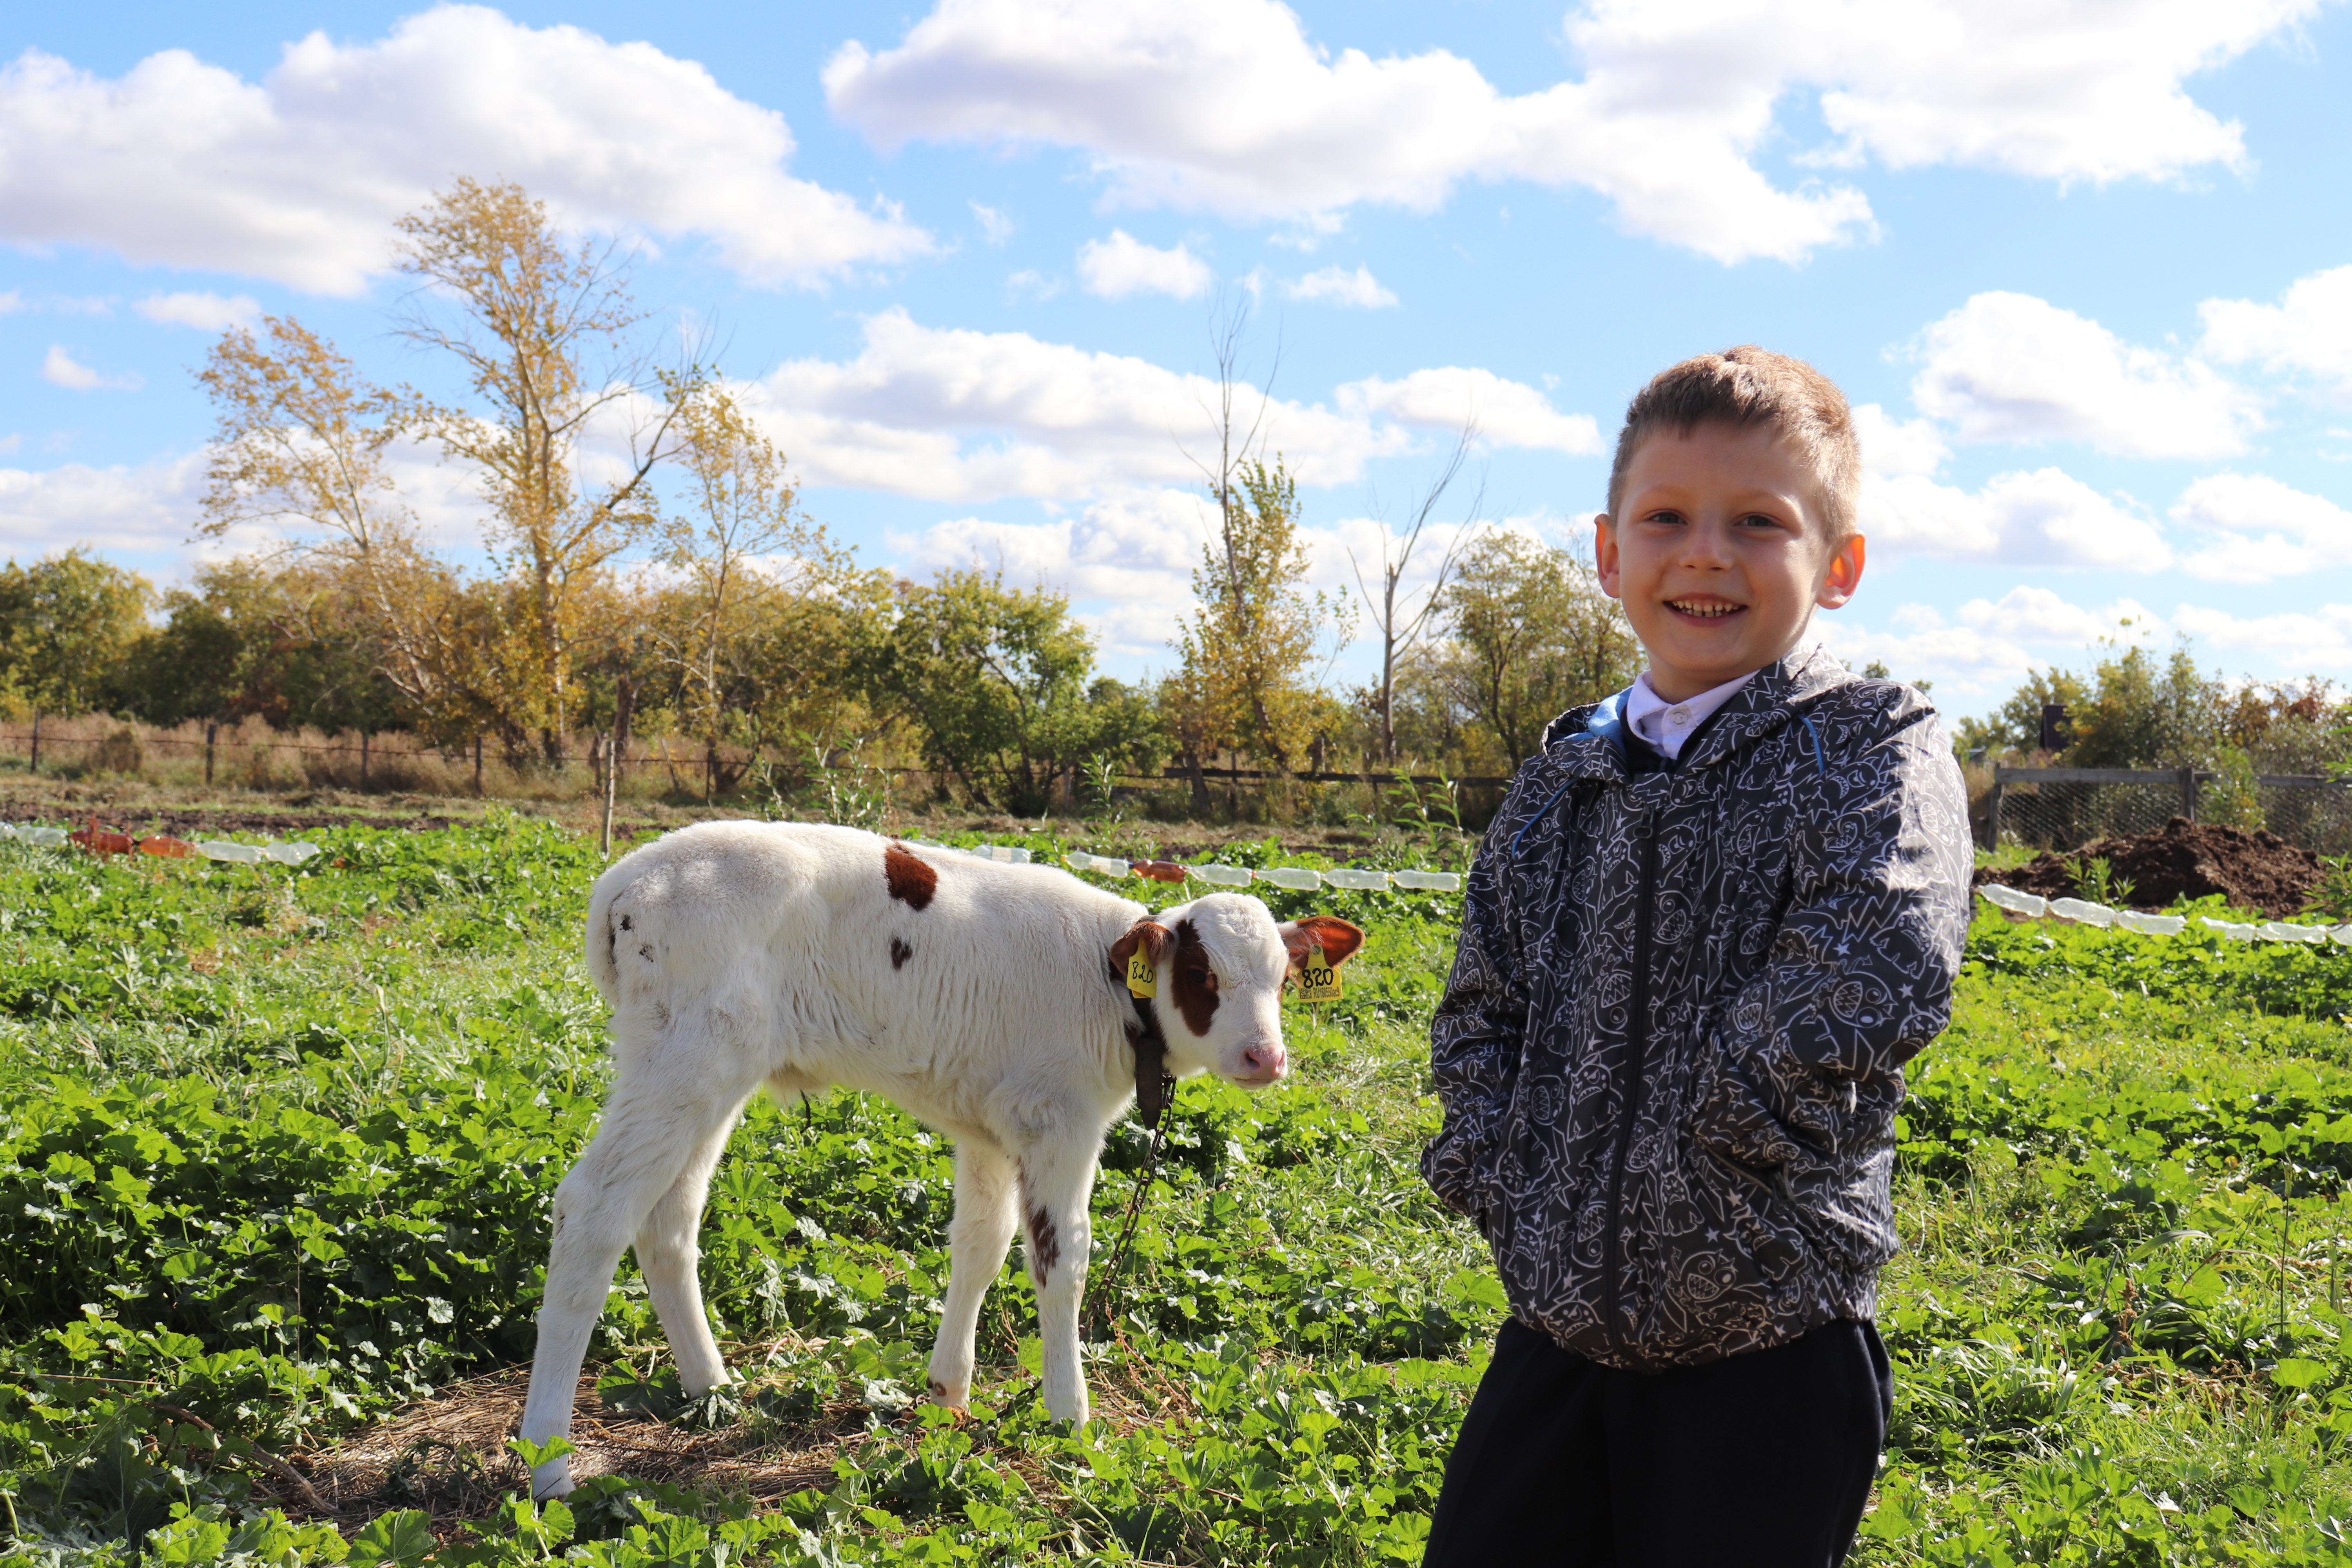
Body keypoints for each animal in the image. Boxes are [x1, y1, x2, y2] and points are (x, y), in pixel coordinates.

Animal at [513, 822, 1364, 1495]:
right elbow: (1061, 1262)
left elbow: (979, 1247)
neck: (1109, 986)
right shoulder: (1059, 1124)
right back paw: (548, 1462)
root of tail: (630, 876)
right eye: (1201, 974)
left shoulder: (988, 1127)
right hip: (686, 1059)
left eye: (1284, 978)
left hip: (708, 1071)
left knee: (668, 1218)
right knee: (596, 1208)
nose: (1265, 1056)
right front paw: (1070, 1417)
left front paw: (947, 1391)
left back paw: (711, 1387)